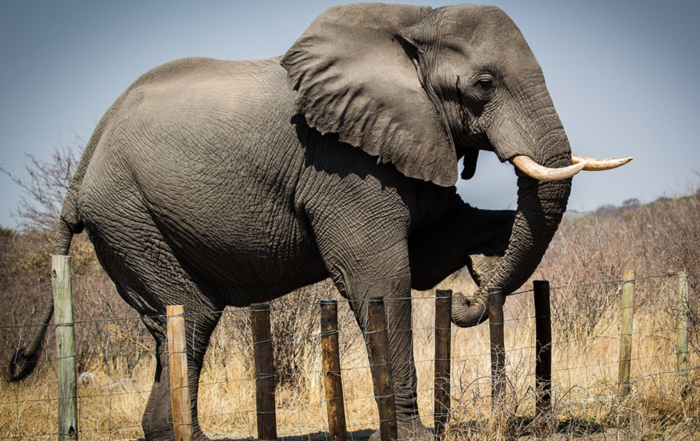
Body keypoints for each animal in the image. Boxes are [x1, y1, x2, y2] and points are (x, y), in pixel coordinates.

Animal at [6, 4, 628, 440]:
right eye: (483, 83)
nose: (474, 295)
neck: (415, 21)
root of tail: (80, 174)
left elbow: (434, 249)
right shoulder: (340, 163)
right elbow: (384, 279)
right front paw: (415, 436)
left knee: (182, 324)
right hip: (128, 217)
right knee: (191, 314)